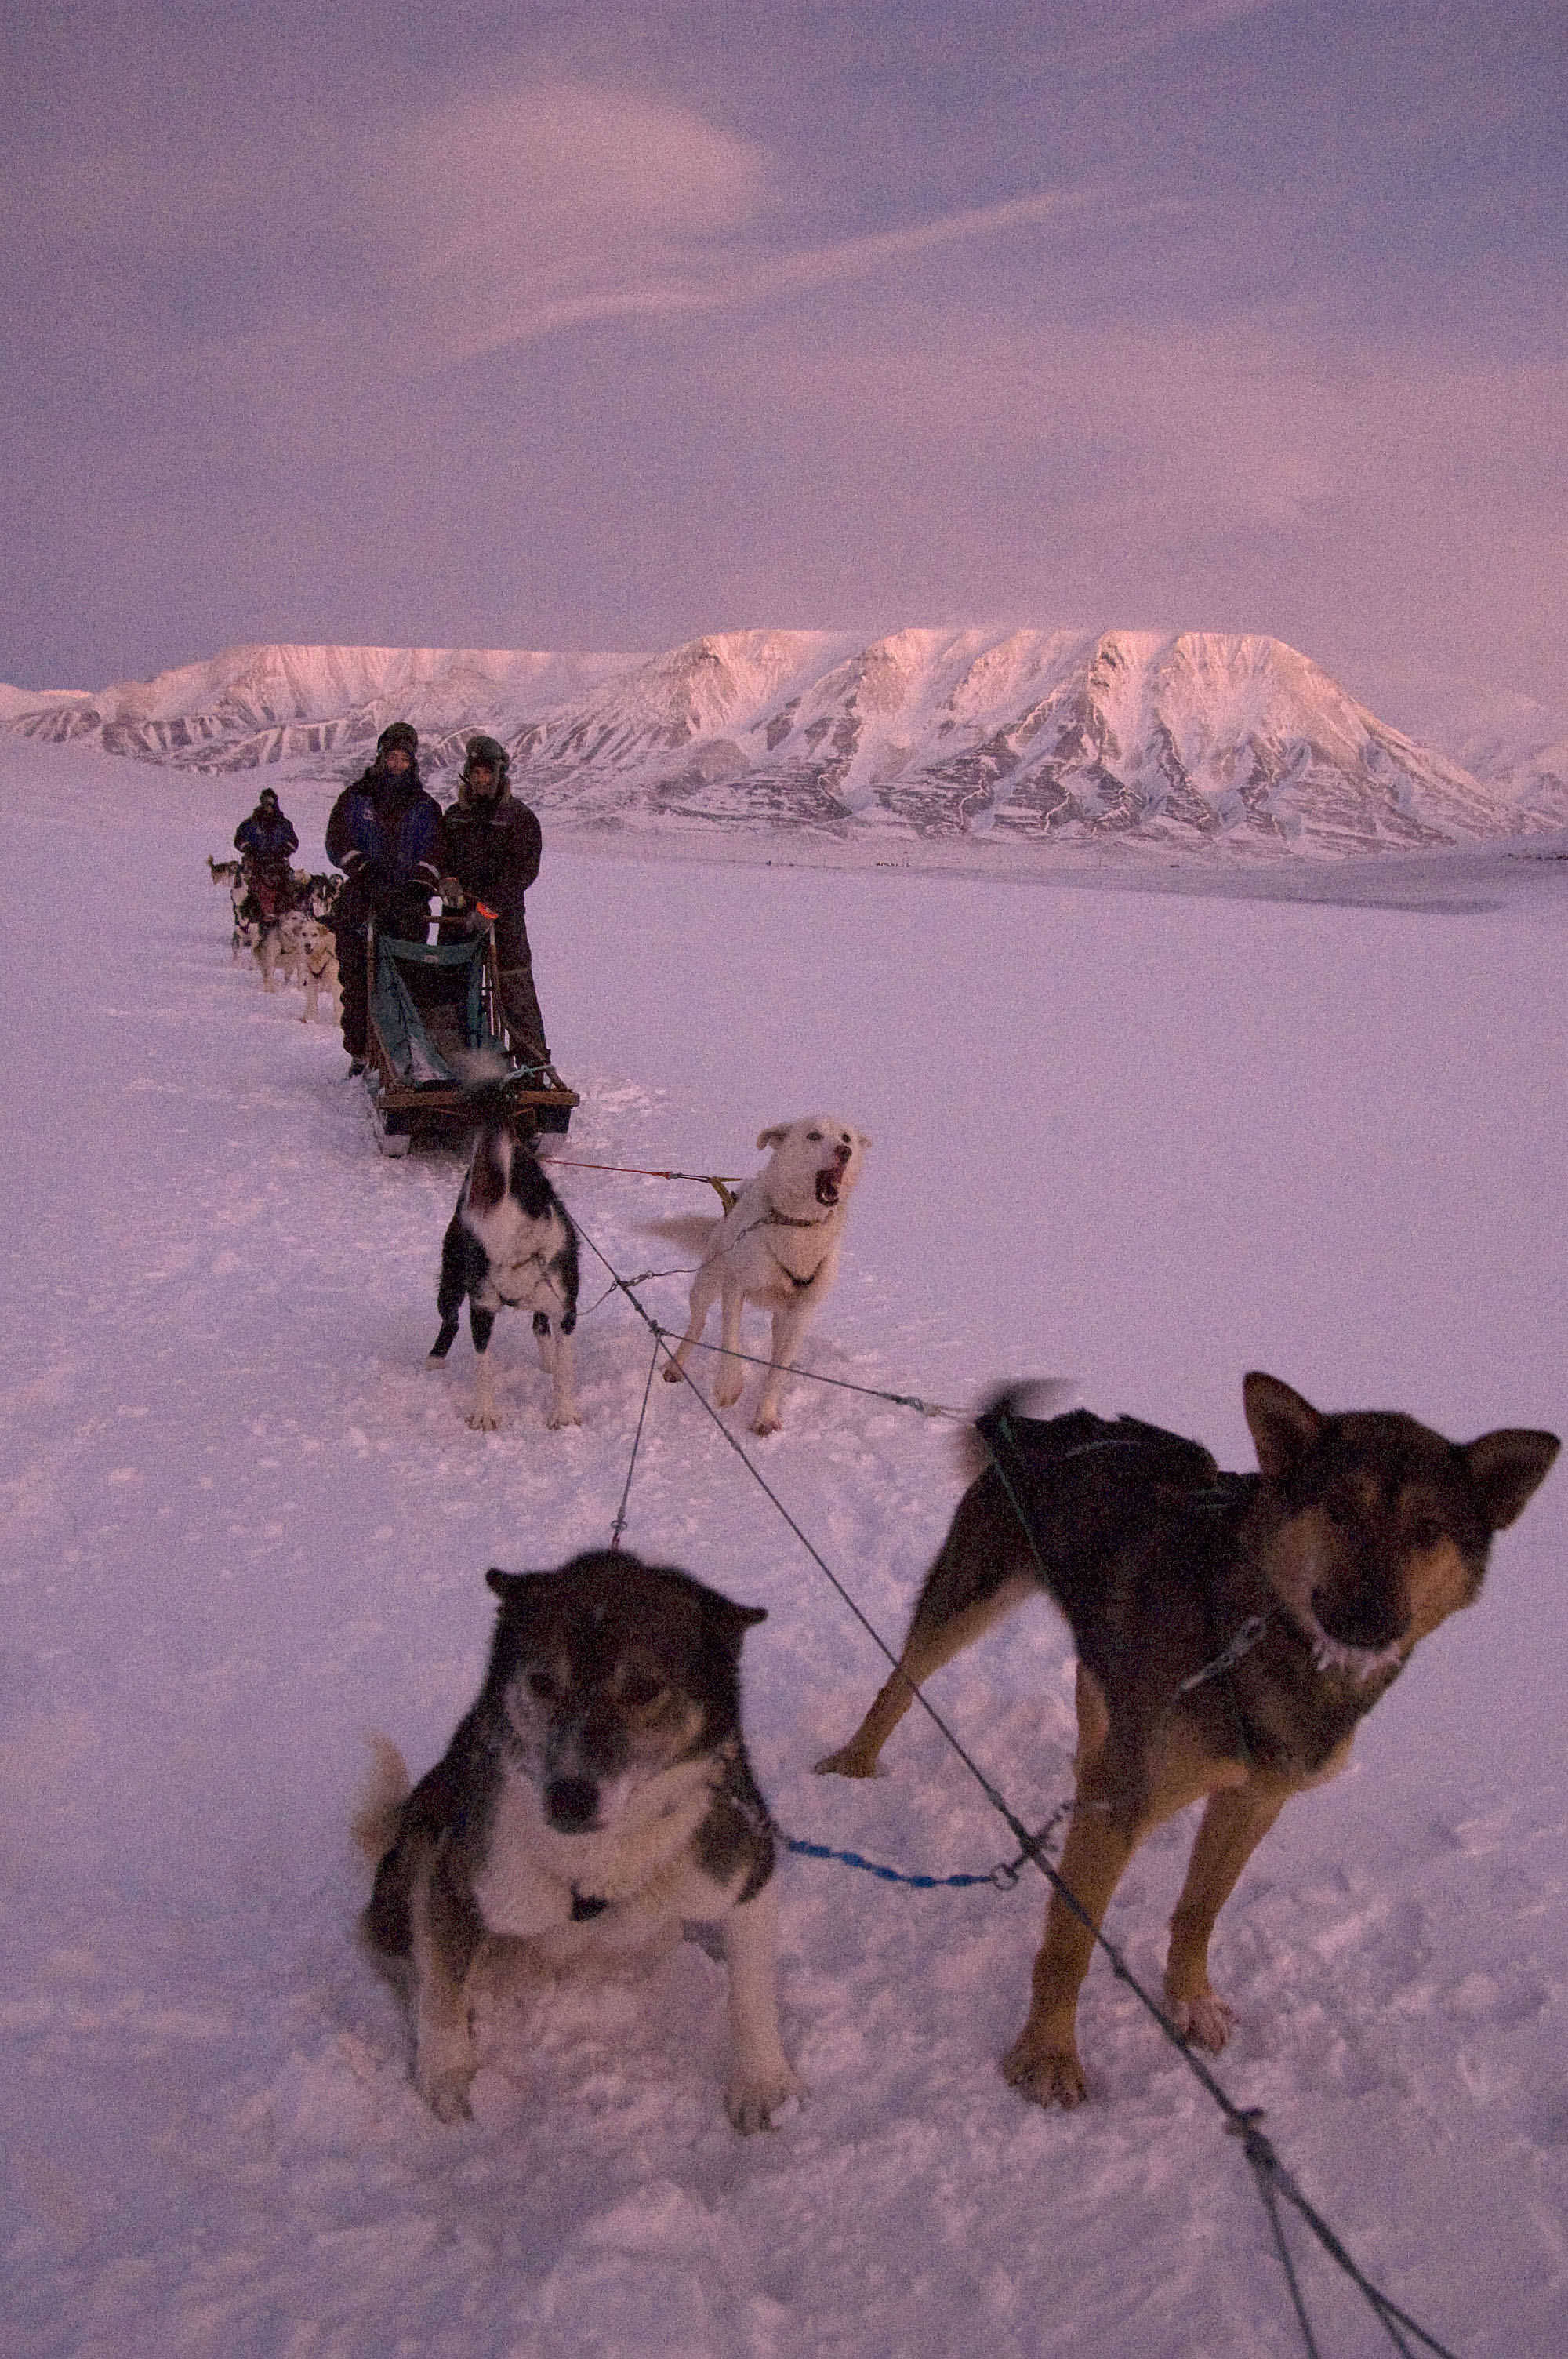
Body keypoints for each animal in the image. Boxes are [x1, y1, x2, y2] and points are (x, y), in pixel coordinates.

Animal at [358, 1547, 806, 2142]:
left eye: (643, 1688)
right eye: (544, 1682)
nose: (569, 1797)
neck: (602, 1863)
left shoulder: (745, 1867)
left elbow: (751, 1993)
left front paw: (762, 2084)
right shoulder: (453, 1879)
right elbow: (441, 1989)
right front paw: (449, 2074)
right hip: (420, 1843)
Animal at [429, 1103, 579, 1434]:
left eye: (513, 1171)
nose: (493, 1127)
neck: (515, 1252)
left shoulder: (566, 1309)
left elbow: (565, 1369)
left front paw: (563, 1413)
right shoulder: (482, 1306)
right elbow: (483, 1366)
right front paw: (484, 1414)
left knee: (540, 1325)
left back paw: (547, 1361)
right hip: (452, 1282)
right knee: (450, 1320)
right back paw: (435, 1359)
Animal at [655, 1108, 867, 1424]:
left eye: (846, 1137)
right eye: (813, 1135)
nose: (845, 1151)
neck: (798, 1226)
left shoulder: (801, 1312)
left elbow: (778, 1370)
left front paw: (765, 1415)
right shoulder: (735, 1287)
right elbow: (731, 1342)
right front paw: (728, 1385)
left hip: (781, 1315)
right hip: (707, 1284)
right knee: (697, 1325)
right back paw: (674, 1366)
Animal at [811, 1377, 1555, 2114]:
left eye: (1428, 1530)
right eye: (1340, 1509)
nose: (1369, 1618)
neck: (1258, 1635)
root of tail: (1043, 1428)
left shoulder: (1253, 1802)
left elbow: (1201, 1910)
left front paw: (1191, 2000)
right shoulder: (1125, 1806)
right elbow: (1071, 1943)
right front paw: (1049, 2054)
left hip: (1106, 1658)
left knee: (1094, 1723)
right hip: (968, 1602)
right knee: (902, 1682)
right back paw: (855, 1762)